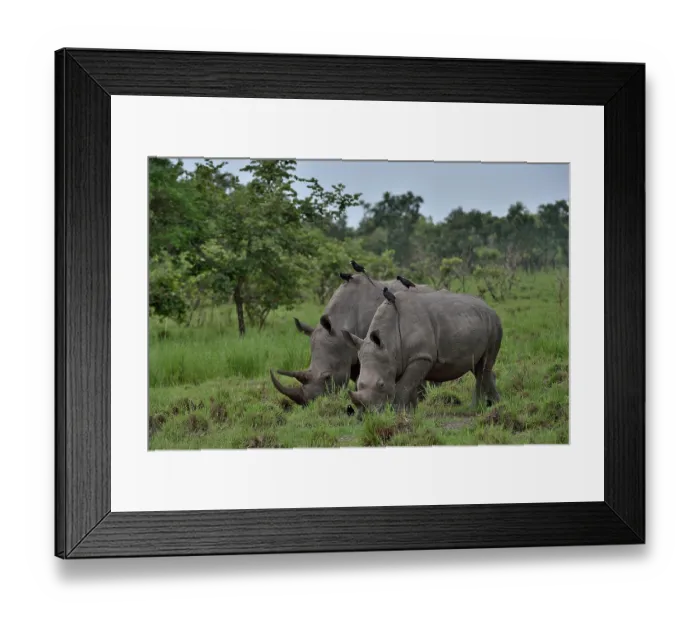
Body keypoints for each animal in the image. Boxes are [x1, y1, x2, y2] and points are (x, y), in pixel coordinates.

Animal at [341, 289, 503, 412]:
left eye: (381, 385)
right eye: (359, 384)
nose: (365, 415)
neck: (389, 341)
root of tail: (490, 308)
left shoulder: (422, 357)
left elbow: (404, 386)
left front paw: (397, 411)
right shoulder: (401, 359)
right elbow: (410, 387)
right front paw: (411, 412)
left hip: (494, 324)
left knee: (484, 367)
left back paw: (478, 408)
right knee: (478, 367)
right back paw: (494, 404)